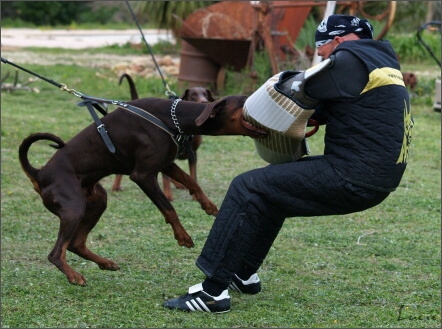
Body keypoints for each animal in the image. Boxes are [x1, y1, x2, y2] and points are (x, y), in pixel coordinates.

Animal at [19, 95, 266, 284]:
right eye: (244, 100)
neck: (173, 118)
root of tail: (39, 174)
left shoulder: (166, 164)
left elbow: (191, 181)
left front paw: (208, 205)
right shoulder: (143, 175)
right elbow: (168, 208)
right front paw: (182, 236)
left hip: (97, 199)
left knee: (75, 244)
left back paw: (105, 263)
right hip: (74, 206)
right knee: (56, 253)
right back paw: (73, 275)